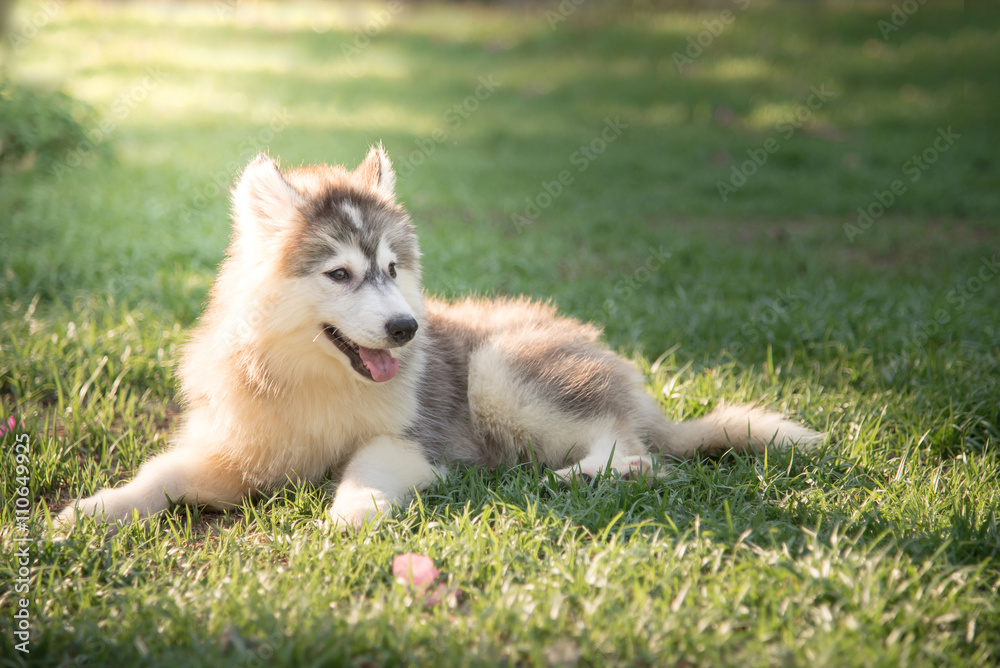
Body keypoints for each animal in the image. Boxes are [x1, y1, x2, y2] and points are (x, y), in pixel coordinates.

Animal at [56, 147, 820, 532]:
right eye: (341, 273)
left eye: (393, 269)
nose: (405, 329)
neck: (317, 380)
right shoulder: (233, 450)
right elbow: (161, 476)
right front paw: (88, 512)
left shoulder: (412, 441)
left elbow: (367, 468)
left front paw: (349, 514)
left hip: (502, 373)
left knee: (633, 451)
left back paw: (574, 474)